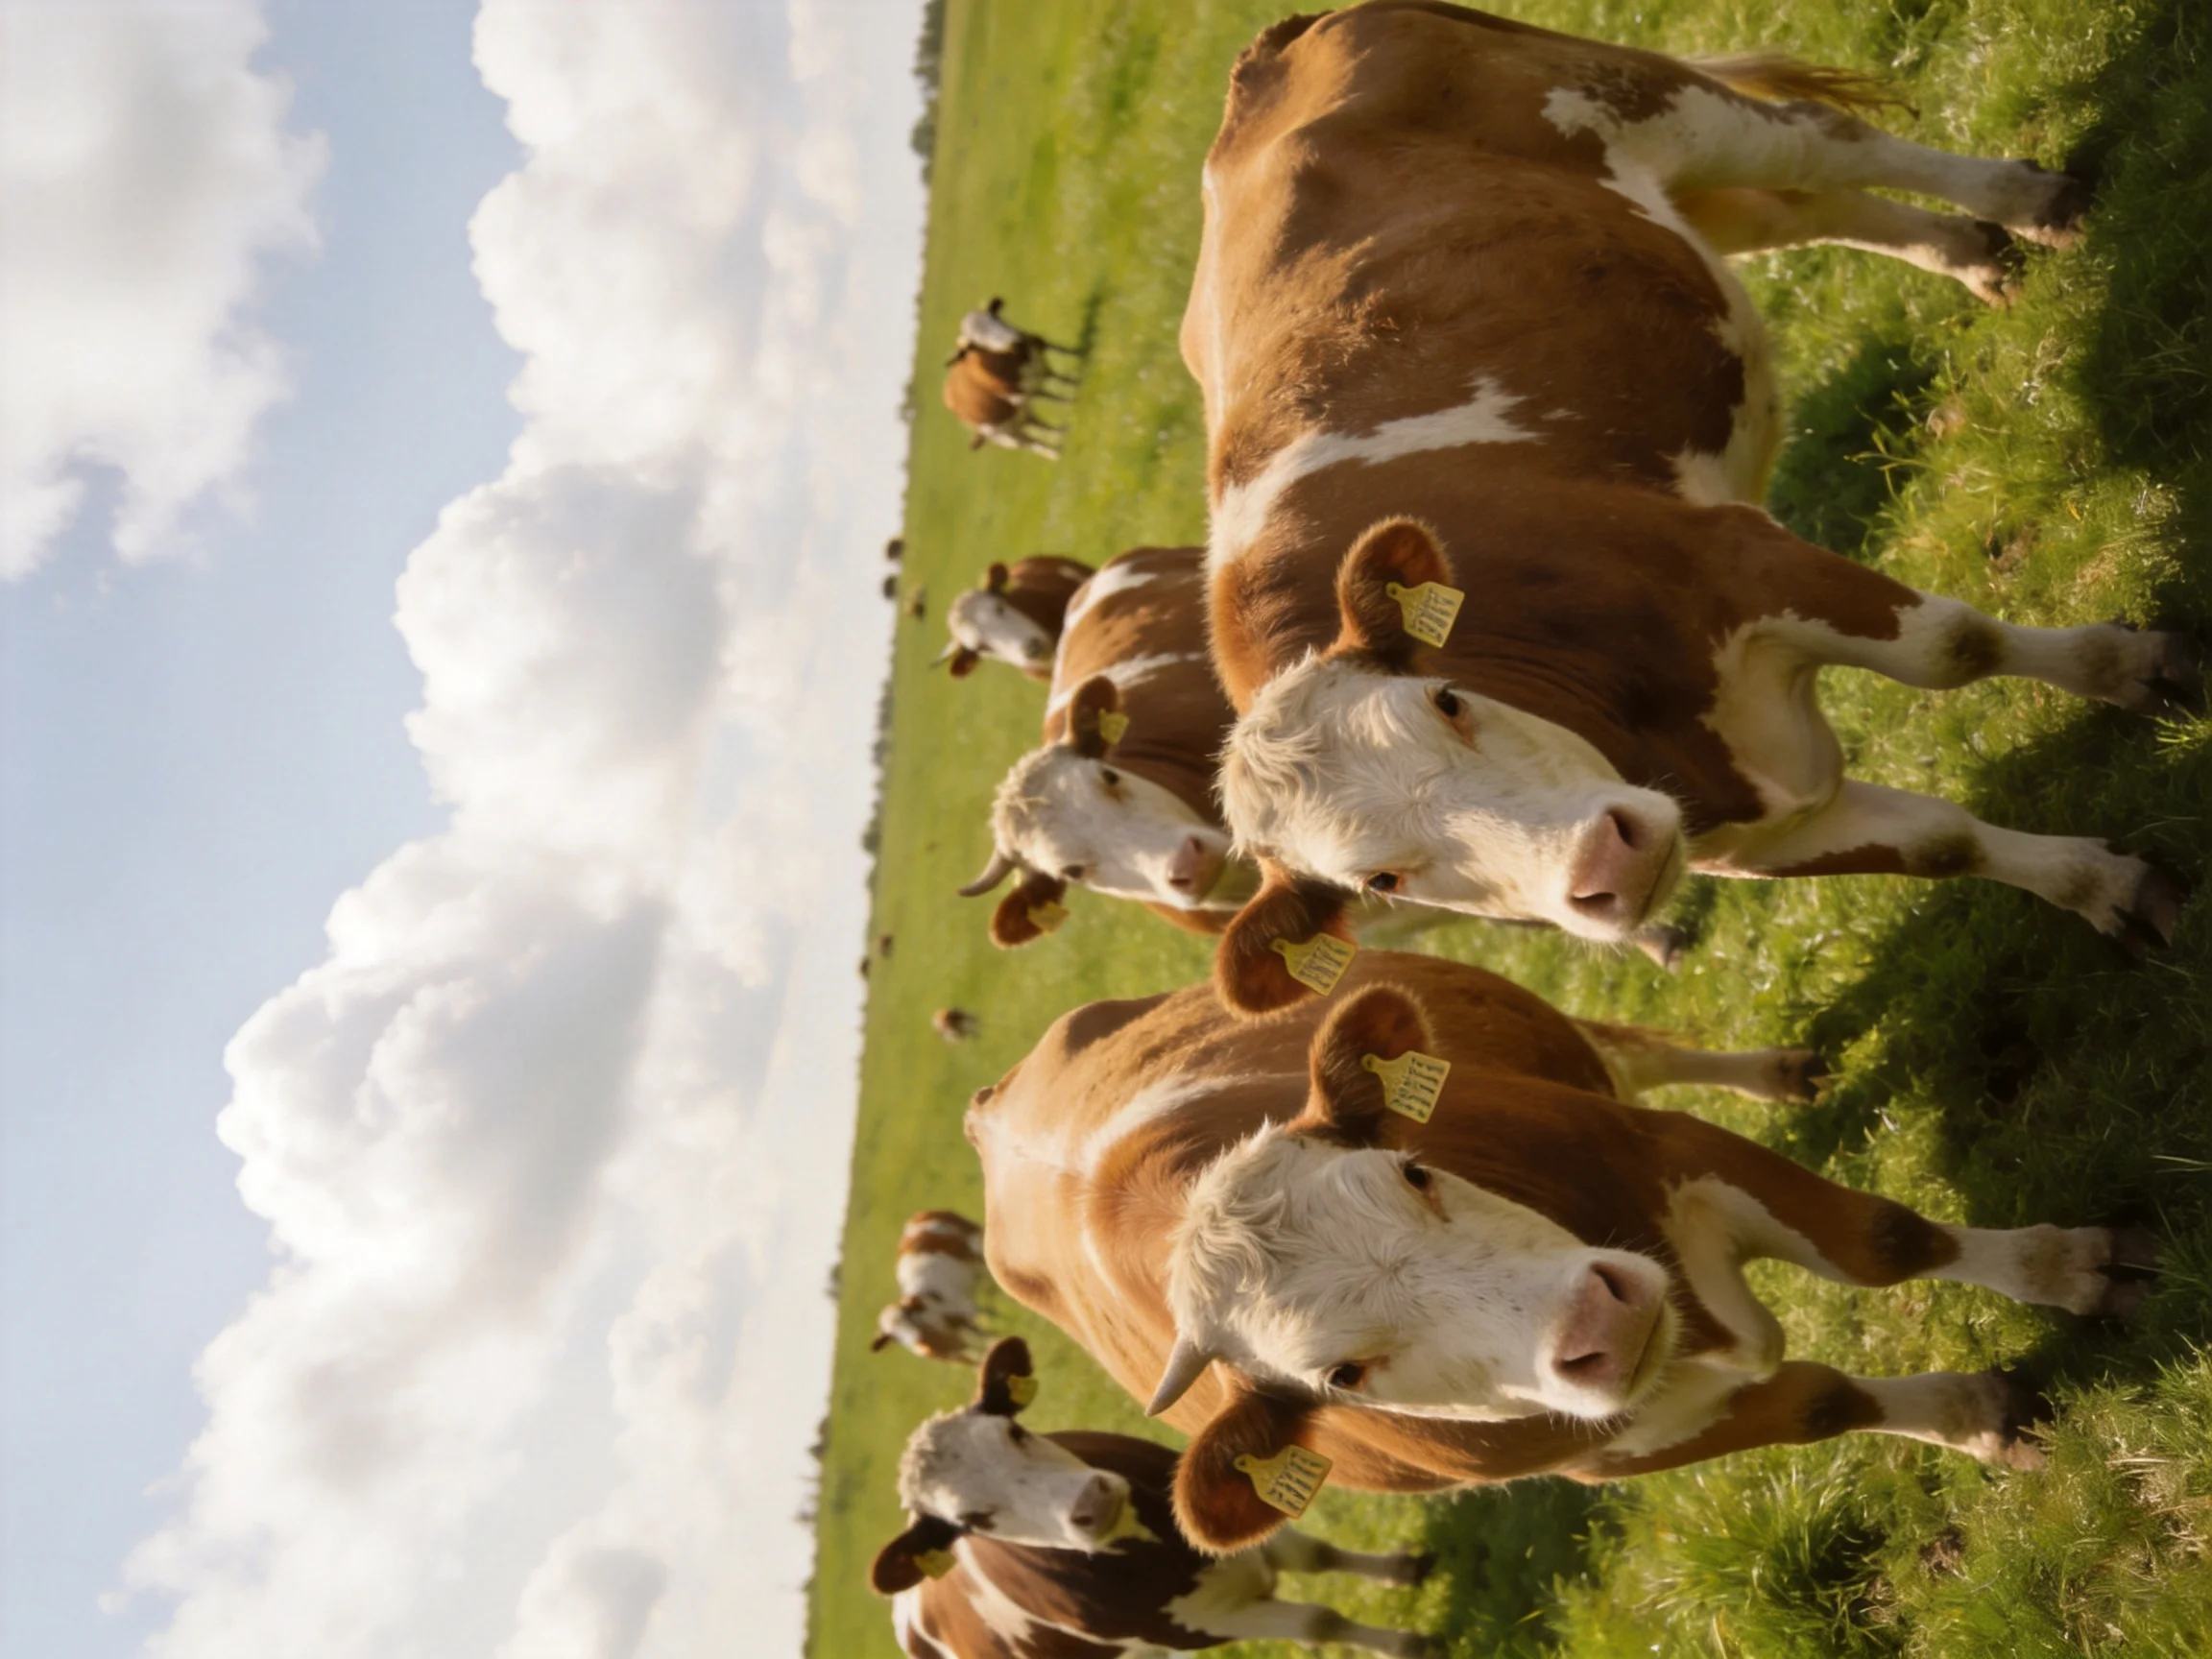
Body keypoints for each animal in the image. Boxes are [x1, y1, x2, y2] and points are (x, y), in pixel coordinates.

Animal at [873, 1337, 1433, 1658]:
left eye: (1013, 1432)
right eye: (972, 1521)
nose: (1090, 1504)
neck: (1163, 1549)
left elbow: (1318, 1555)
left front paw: (1403, 1568)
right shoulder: (1203, 1625)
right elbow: (1321, 1620)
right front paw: (1410, 1645)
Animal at [875, 1211, 992, 1364]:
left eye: (909, 1315)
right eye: (894, 1337)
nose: (918, 1341)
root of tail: (917, 1216)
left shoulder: (966, 1311)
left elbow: (987, 1333)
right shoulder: (955, 1346)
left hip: (976, 1248)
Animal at [966, 949, 2156, 1553]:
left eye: (1413, 1173)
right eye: (1341, 1376)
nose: (1600, 1321)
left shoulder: (1666, 1150)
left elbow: (1884, 1243)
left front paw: (2070, 1269)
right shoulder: (1617, 1447)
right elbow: (1826, 1403)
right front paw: (1975, 1417)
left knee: (1630, 1048)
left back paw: (1770, 1070)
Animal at [1182, 5, 2195, 1010]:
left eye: (1449, 699)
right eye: (1381, 879)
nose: (1606, 863)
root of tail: (1259, 65)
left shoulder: (1730, 556)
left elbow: (1955, 647)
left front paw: (2139, 666)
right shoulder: (1750, 838)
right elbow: (1947, 844)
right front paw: (2104, 888)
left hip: (1658, 106)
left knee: (1824, 146)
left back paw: (2032, 202)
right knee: (1804, 208)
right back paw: (1978, 257)